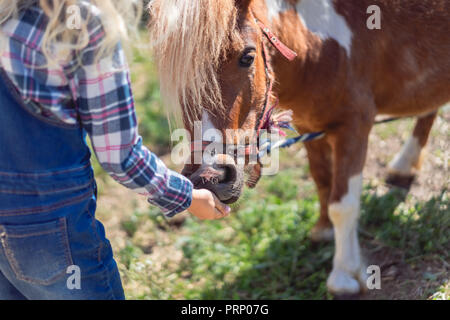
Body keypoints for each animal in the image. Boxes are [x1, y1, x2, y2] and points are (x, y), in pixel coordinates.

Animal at [149, 0, 450, 296]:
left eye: (247, 57)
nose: (209, 177)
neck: (317, 45)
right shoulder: (310, 128)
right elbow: (322, 183)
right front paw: (323, 230)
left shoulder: (354, 126)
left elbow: (343, 203)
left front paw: (344, 274)